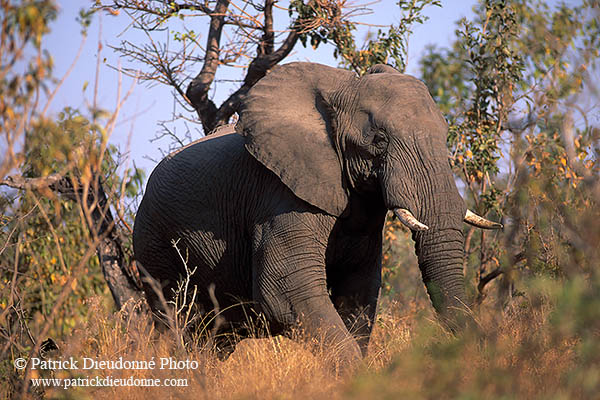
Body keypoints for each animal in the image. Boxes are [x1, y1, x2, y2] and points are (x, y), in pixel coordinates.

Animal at [132, 61, 502, 366]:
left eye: (446, 135)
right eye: (380, 139)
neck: (343, 91)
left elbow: (358, 292)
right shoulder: (279, 194)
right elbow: (286, 290)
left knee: (216, 342)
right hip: (154, 248)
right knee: (179, 328)